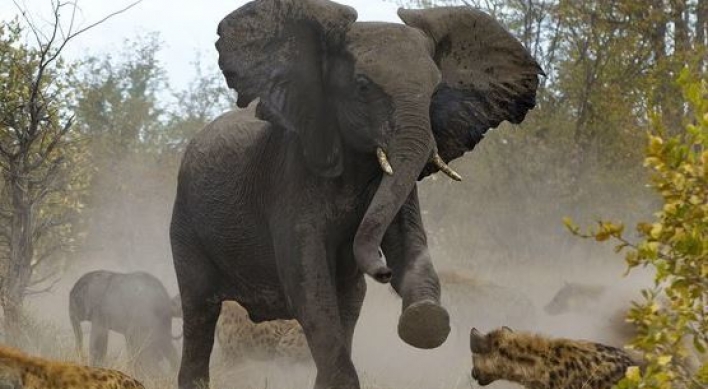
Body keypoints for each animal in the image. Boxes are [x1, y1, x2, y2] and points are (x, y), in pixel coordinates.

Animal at [171, 0, 544, 388]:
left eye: (435, 91)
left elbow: (407, 245)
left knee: (350, 304)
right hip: (185, 225)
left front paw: (425, 318)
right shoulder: (289, 179)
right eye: (363, 87)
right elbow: (308, 287)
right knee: (199, 311)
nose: (382, 272)